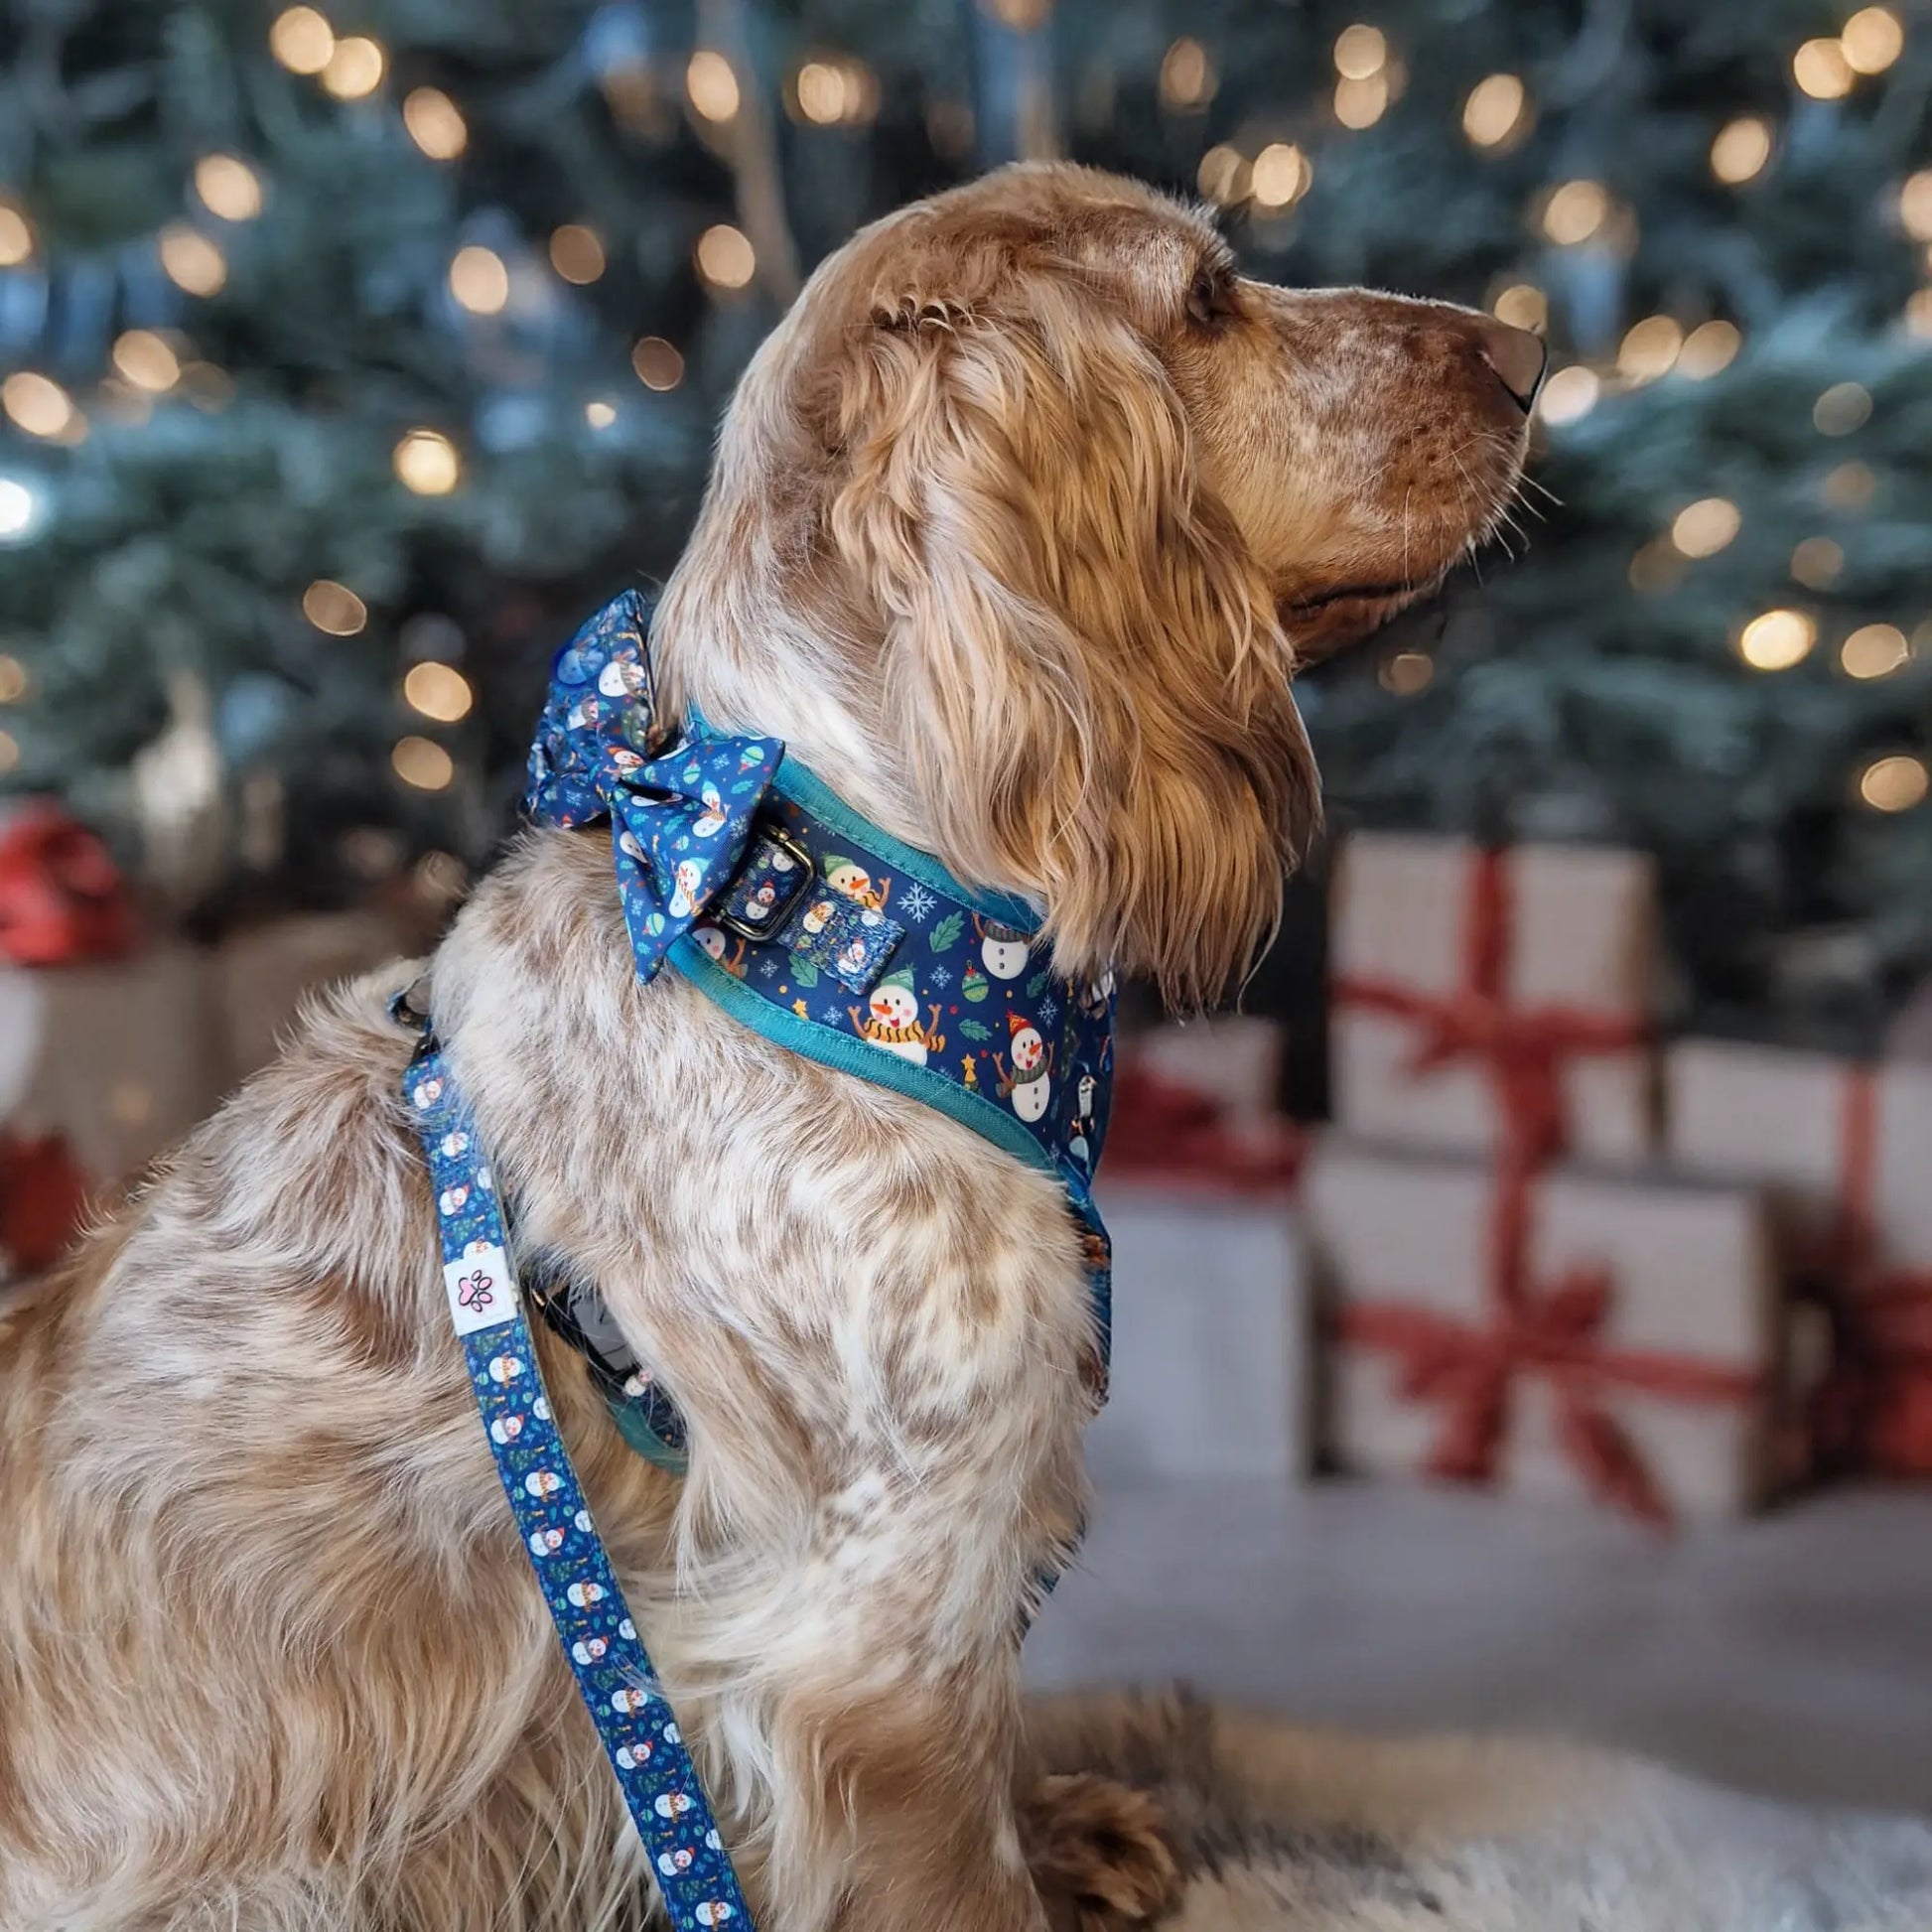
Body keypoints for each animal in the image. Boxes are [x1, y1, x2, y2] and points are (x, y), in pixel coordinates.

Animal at [0, 166, 1538, 1932]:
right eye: (1205, 301)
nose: (1528, 348)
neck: (821, 919)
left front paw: (1068, 1830)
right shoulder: (877, 1635)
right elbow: (958, 1879)